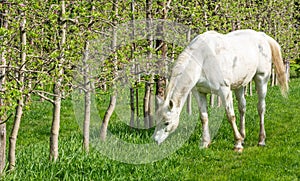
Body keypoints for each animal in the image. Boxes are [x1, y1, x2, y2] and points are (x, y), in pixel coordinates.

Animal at [154, 29, 288, 151]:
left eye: (166, 122)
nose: (155, 140)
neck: (203, 60)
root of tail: (262, 36)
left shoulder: (224, 91)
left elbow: (230, 116)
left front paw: (237, 144)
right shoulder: (199, 92)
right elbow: (204, 117)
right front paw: (205, 143)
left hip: (261, 79)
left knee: (261, 107)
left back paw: (261, 140)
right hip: (240, 85)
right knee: (242, 107)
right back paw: (243, 137)